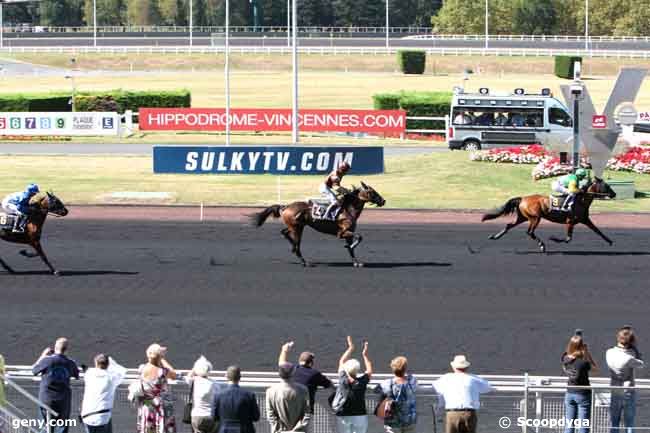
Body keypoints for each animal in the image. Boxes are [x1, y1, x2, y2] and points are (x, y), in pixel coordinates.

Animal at [248, 180, 382, 266]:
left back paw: (294, 249)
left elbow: (352, 249)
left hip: (297, 226)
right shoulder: (342, 232)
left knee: (285, 233)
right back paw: (303, 261)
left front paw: (356, 262)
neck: (348, 209)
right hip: (297, 228)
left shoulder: (349, 233)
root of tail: (285, 207)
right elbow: (359, 237)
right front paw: (349, 248)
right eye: (372, 192)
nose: (383, 200)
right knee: (296, 244)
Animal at [480, 178, 612, 253]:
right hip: (535, 218)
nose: (614, 194)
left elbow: (598, 231)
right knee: (529, 232)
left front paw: (610, 241)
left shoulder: (585, 220)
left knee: (509, 225)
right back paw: (542, 245)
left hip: (523, 217)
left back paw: (494, 236)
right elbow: (568, 239)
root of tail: (523, 198)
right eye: (607, 186)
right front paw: (553, 238)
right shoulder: (570, 221)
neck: (581, 200)